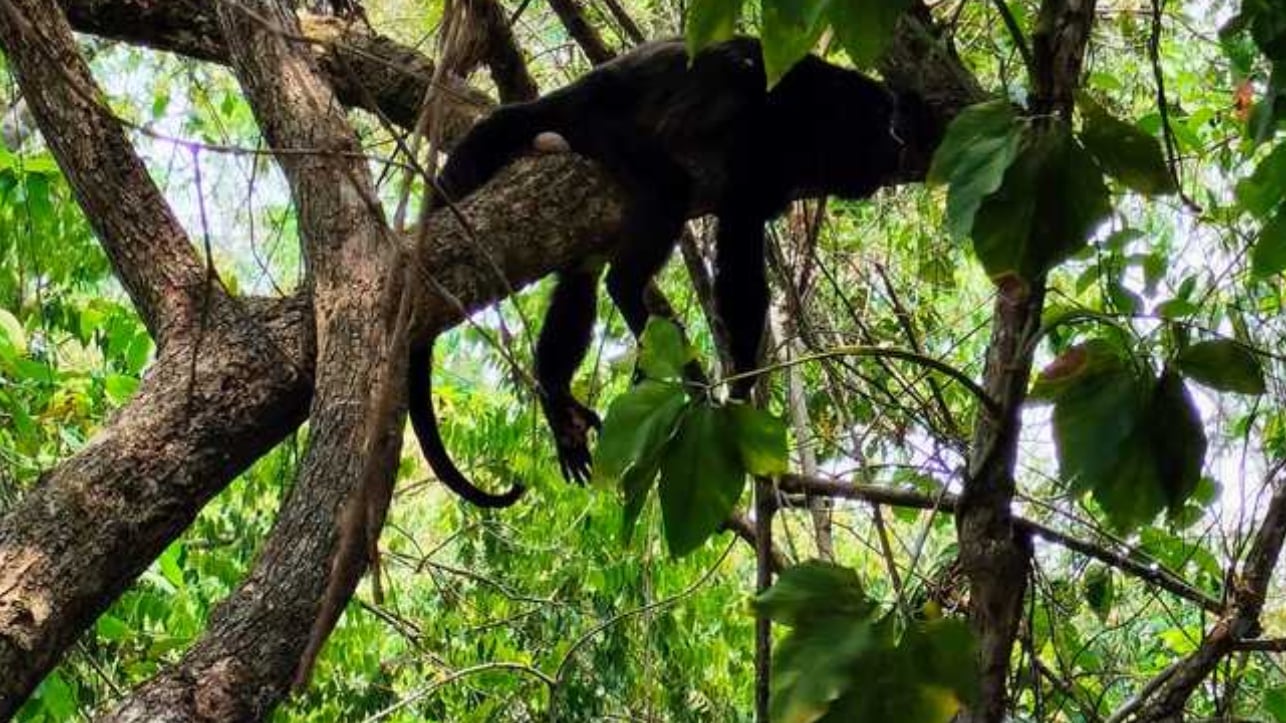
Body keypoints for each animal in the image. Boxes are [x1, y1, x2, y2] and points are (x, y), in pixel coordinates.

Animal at [410, 36, 938, 506]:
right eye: (882, 128)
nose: (897, 144)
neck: (815, 113)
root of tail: (569, 95)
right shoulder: (759, 138)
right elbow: (738, 262)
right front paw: (739, 389)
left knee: (581, 279)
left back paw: (557, 398)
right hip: (601, 128)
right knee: (664, 195)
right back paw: (641, 312)